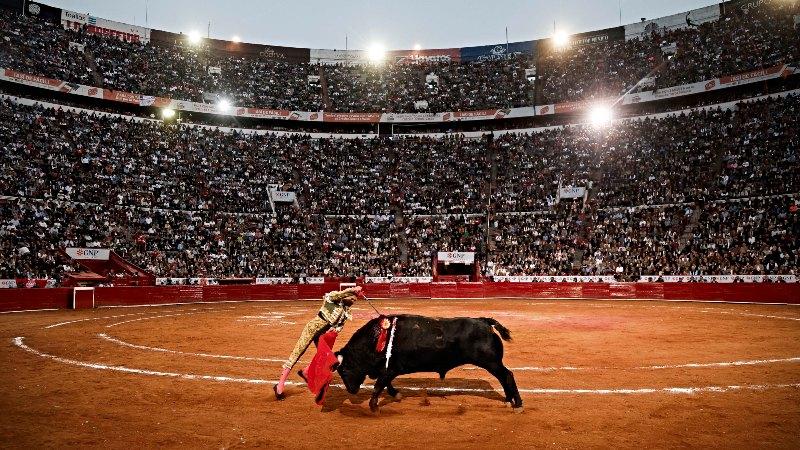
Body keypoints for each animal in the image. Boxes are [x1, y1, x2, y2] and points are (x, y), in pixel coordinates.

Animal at [332, 314, 524, 414]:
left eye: (344, 369)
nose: (351, 390)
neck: (375, 340)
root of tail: (484, 321)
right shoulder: (388, 370)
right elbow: (386, 384)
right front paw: (396, 395)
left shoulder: (389, 368)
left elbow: (379, 385)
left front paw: (374, 406)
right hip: (492, 363)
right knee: (504, 377)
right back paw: (508, 401)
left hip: (491, 362)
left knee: (507, 375)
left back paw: (518, 405)